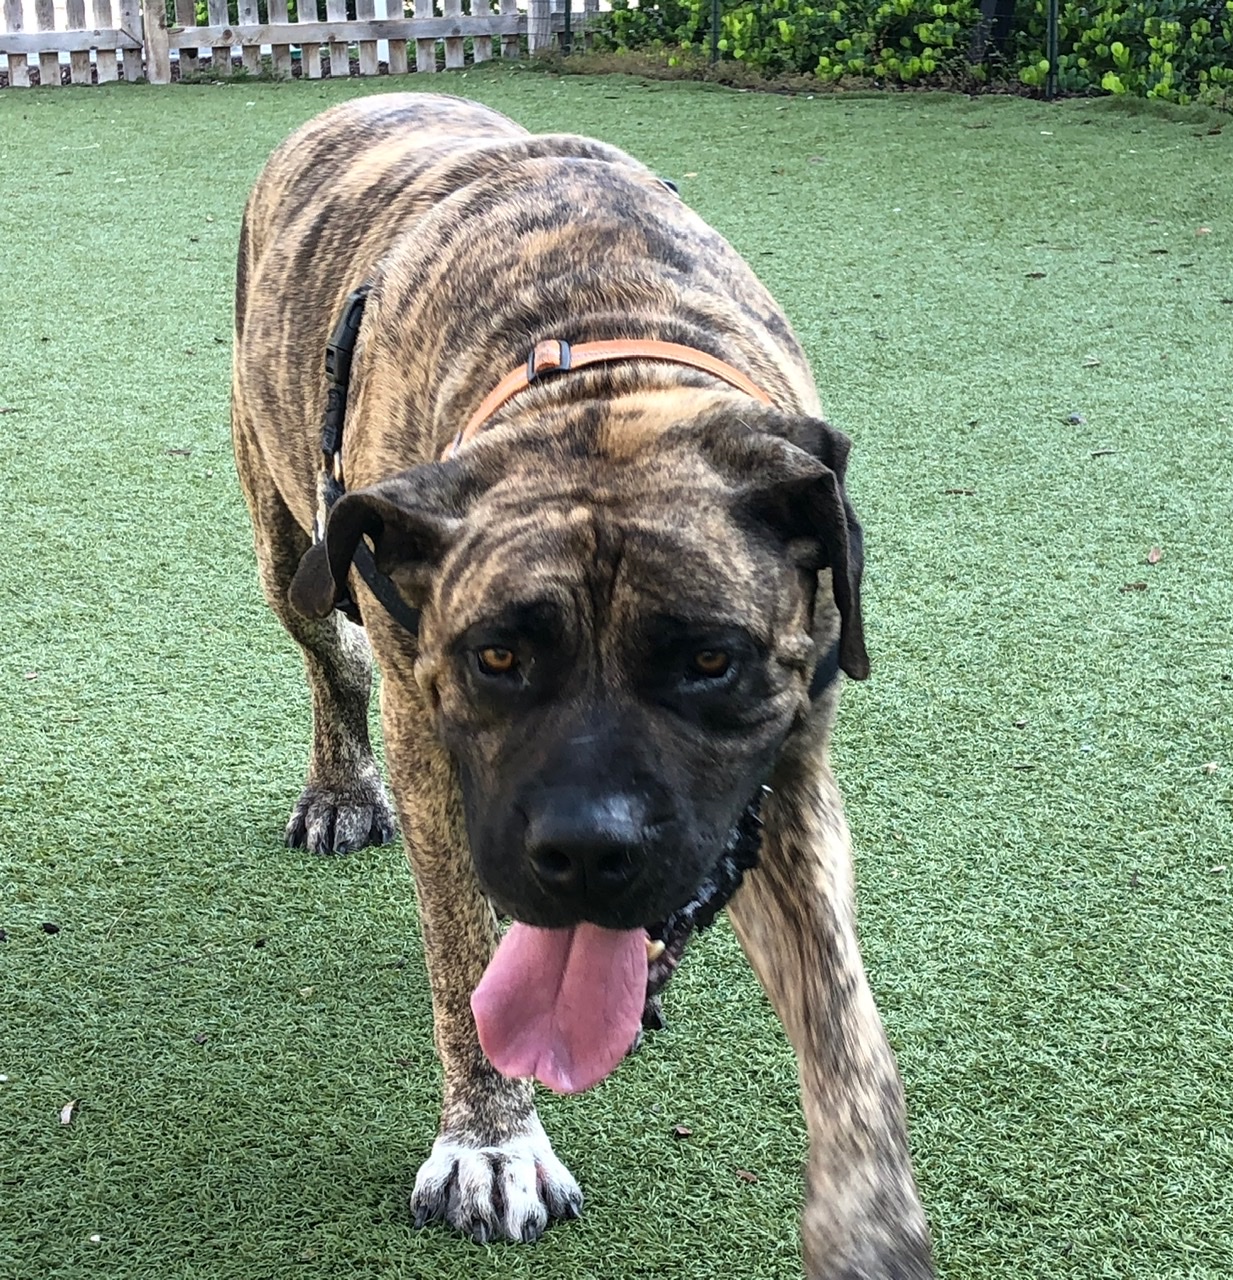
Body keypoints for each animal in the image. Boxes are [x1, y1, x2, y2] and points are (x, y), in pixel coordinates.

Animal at [230, 91, 934, 1279]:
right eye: (496, 659)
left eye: (710, 660)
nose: (586, 850)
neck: (601, 367)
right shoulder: (430, 745)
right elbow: (463, 955)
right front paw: (490, 1141)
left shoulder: (791, 778)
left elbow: (847, 1028)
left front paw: (869, 1228)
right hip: (294, 545)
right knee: (334, 661)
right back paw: (339, 789)